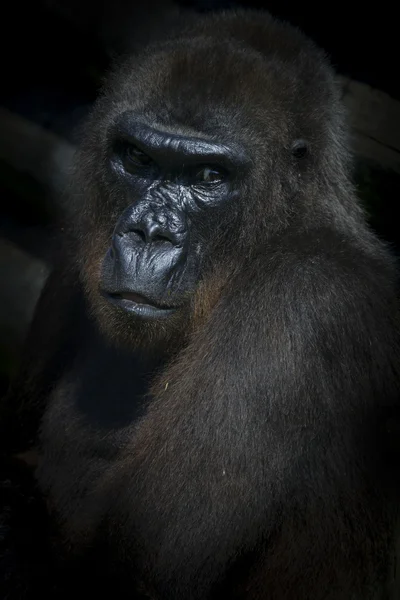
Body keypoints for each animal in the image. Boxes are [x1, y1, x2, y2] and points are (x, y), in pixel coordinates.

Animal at [0, 5, 400, 600]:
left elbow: (125, 575)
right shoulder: (78, 242)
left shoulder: (306, 304)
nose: (149, 235)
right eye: (138, 158)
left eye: (211, 176)